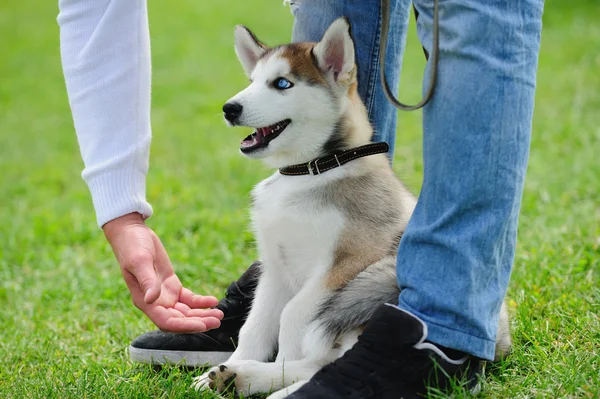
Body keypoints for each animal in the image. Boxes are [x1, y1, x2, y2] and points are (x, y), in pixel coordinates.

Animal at [193, 17, 510, 398]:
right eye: (252, 81)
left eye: (282, 83)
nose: (230, 108)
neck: (311, 171)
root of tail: (500, 340)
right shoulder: (275, 267)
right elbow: (255, 326)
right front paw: (233, 365)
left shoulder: (346, 262)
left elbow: (291, 316)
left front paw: (277, 362)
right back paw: (240, 376)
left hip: (378, 281)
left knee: (325, 359)